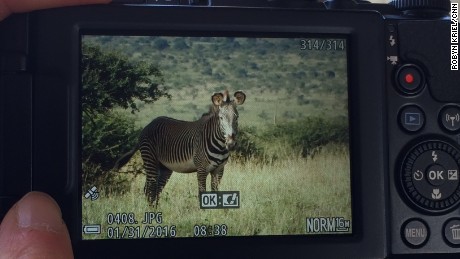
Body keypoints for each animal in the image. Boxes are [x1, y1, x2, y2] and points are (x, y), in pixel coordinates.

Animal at [113, 90, 246, 206]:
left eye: (237, 117)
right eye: (221, 118)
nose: (231, 144)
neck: (220, 146)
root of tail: (147, 126)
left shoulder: (219, 170)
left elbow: (215, 193)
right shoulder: (201, 169)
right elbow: (202, 193)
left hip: (164, 167)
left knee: (155, 189)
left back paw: (156, 210)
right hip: (150, 159)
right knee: (150, 188)